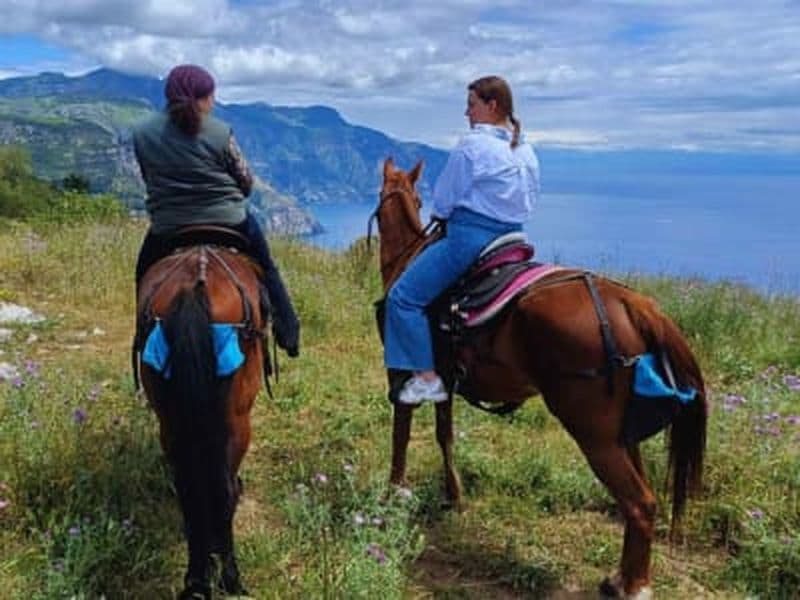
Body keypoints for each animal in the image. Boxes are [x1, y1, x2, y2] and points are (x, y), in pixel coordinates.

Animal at [134, 240, 266, 599]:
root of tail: (195, 286)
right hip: (237, 421)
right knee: (223, 491)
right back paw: (230, 579)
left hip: (171, 420)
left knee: (190, 489)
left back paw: (196, 580)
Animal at [374, 158, 707, 599]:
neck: (408, 258)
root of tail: (633, 303)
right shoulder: (443, 379)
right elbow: (445, 436)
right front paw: (454, 495)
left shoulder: (401, 373)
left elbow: (401, 437)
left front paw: (392, 494)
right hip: (623, 434)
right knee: (641, 499)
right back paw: (622, 577)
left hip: (595, 436)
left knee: (639, 502)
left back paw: (632, 586)